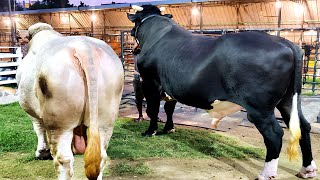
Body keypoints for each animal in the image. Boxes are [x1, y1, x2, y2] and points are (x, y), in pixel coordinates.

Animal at [16, 22, 124, 180]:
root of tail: (84, 48)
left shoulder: (31, 110)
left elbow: (38, 128)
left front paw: (41, 152)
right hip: (106, 120)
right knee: (101, 157)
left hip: (59, 121)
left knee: (63, 160)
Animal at [126, 4, 316, 179]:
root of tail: (287, 43)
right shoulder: (171, 87)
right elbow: (169, 109)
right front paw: (169, 128)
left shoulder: (150, 82)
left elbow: (152, 110)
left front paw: (150, 131)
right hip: (289, 100)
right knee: (304, 126)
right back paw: (308, 169)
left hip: (259, 107)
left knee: (275, 133)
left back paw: (266, 174)